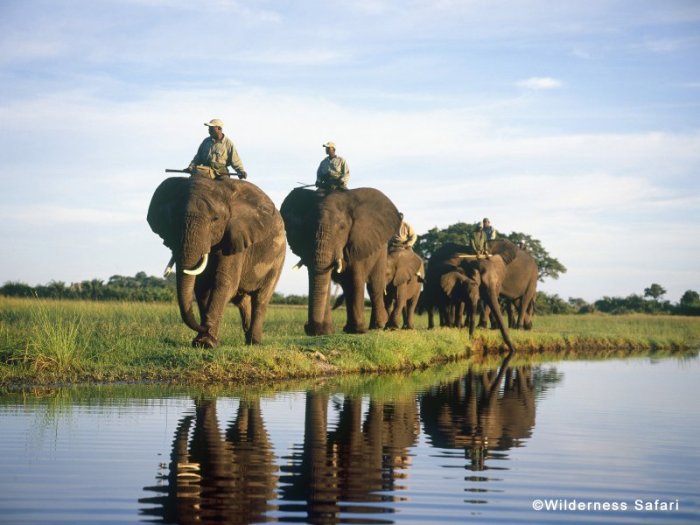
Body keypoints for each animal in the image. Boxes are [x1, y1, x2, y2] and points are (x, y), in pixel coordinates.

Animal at [147, 175, 286, 347]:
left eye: (215, 219)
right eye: (174, 218)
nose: (204, 325)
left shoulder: (236, 238)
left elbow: (224, 283)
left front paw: (205, 343)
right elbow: (202, 287)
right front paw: (202, 341)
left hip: (278, 256)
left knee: (261, 297)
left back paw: (255, 342)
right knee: (242, 300)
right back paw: (248, 340)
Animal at [280, 187, 401, 335]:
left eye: (342, 227)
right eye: (306, 227)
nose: (308, 327)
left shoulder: (357, 243)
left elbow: (355, 279)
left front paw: (358, 331)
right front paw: (325, 332)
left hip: (381, 251)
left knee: (374, 286)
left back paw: (377, 327)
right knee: (346, 286)